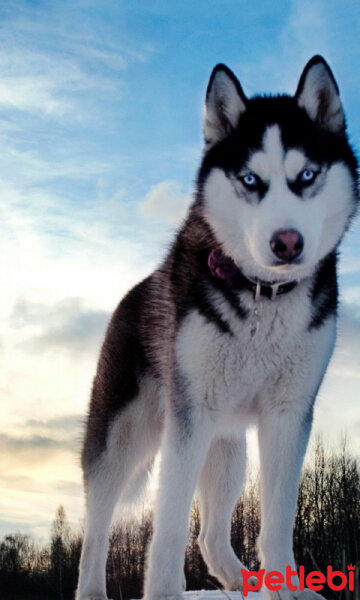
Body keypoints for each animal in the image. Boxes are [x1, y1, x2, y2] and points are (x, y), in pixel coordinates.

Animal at [75, 57, 358, 600]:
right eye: (249, 179)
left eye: (306, 175)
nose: (287, 242)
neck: (263, 295)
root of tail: (132, 293)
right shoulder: (190, 418)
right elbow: (166, 528)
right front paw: (164, 593)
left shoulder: (288, 414)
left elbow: (278, 519)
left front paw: (288, 587)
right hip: (124, 436)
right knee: (97, 525)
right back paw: (92, 589)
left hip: (227, 449)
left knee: (208, 535)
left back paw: (244, 581)